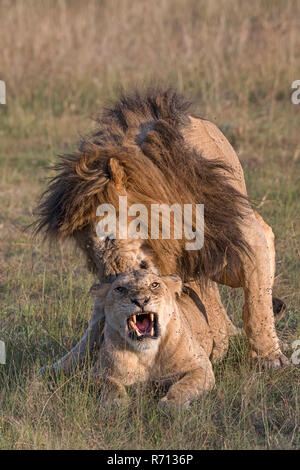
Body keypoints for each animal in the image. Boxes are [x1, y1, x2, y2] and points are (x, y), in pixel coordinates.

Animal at [34, 88, 290, 370]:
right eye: (88, 252)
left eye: (108, 236)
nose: (111, 281)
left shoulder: (240, 241)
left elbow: (257, 302)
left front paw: (269, 357)